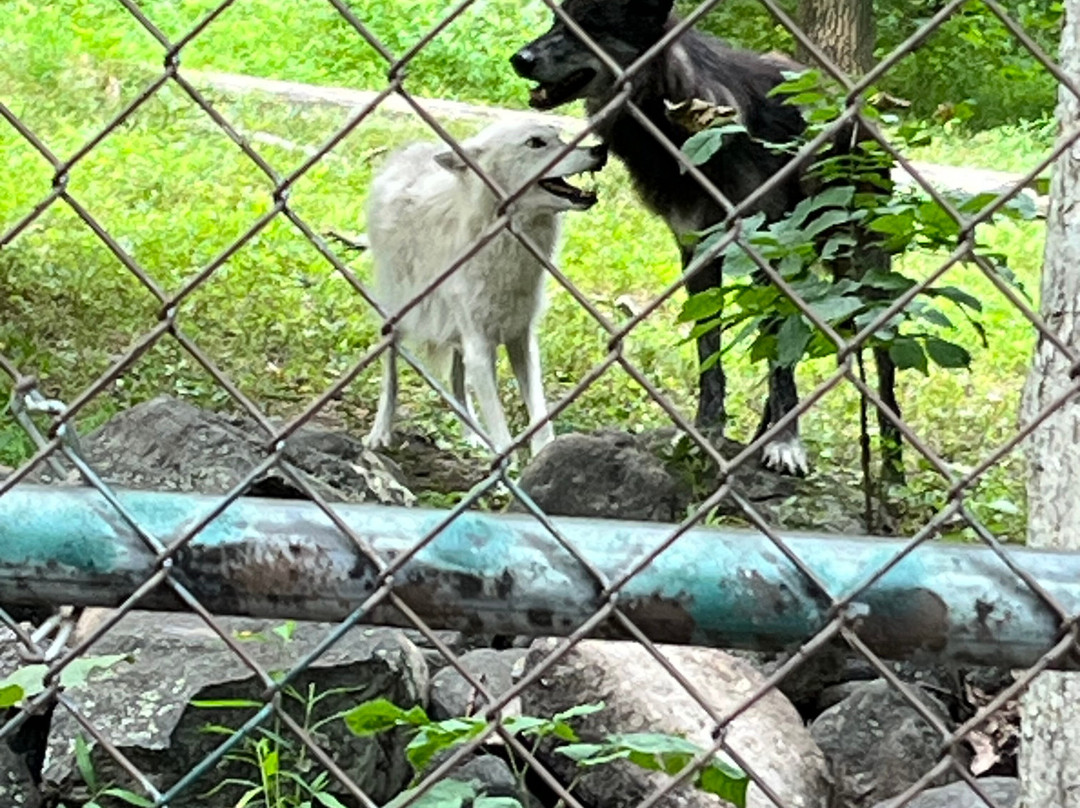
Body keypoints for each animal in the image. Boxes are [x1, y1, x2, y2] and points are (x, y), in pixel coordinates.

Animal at [364, 120, 607, 456]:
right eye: (536, 142)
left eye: (558, 135)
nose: (600, 149)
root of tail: (409, 149)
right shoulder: (480, 347)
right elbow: (503, 435)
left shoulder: (521, 338)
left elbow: (541, 418)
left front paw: (543, 458)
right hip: (399, 316)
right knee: (391, 375)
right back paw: (379, 433)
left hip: (457, 334)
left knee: (456, 380)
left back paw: (472, 437)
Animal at [511, 0, 899, 477]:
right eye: (557, 22)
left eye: (591, 26)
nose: (519, 59)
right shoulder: (696, 253)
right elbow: (710, 356)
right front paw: (705, 434)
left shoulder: (768, 250)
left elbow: (777, 361)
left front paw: (786, 444)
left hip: (862, 273)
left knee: (884, 370)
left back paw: (892, 468)